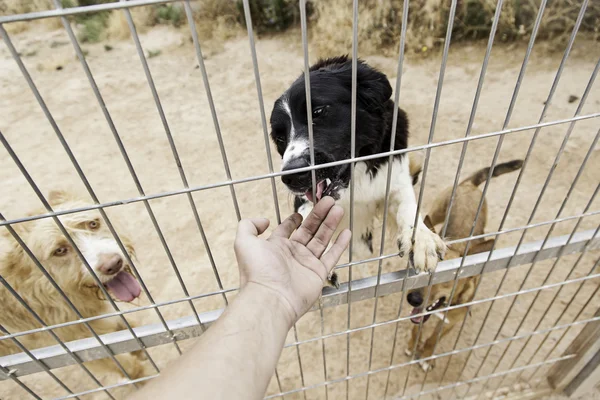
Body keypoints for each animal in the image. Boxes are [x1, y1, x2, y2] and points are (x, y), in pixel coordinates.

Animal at [270, 57, 442, 286]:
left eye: (318, 112)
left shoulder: (394, 175)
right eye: (280, 138)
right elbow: (306, 215)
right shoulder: (305, 199)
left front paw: (421, 239)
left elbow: (407, 204)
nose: (291, 177)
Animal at [406, 159, 524, 368]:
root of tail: (469, 185)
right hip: (436, 212)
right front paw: (413, 346)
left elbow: (433, 338)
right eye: (421, 269)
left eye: (446, 277)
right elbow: (416, 328)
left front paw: (426, 356)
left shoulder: (450, 322)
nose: (413, 298)